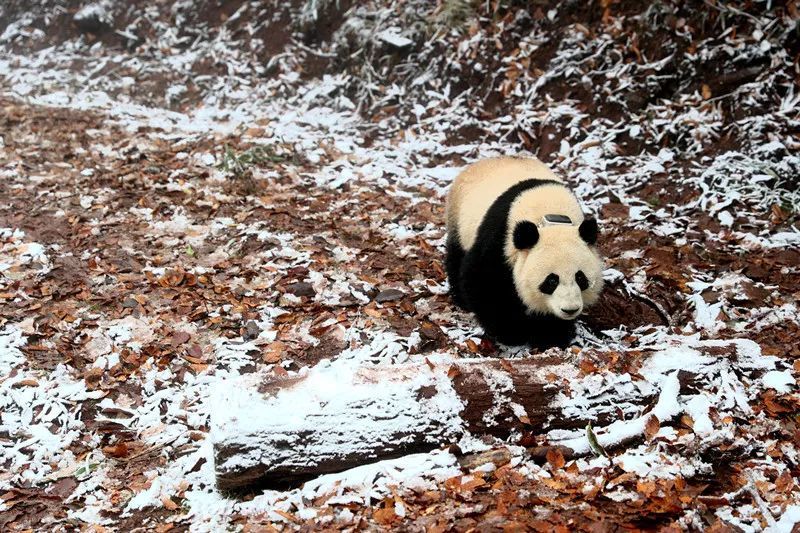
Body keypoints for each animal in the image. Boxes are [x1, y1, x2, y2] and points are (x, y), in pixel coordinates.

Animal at [446, 156, 604, 348]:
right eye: (551, 280)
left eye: (581, 278)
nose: (570, 309)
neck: (550, 215)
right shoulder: (500, 239)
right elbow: (482, 283)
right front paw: (512, 333)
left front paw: (551, 336)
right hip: (459, 219)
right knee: (456, 256)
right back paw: (461, 300)